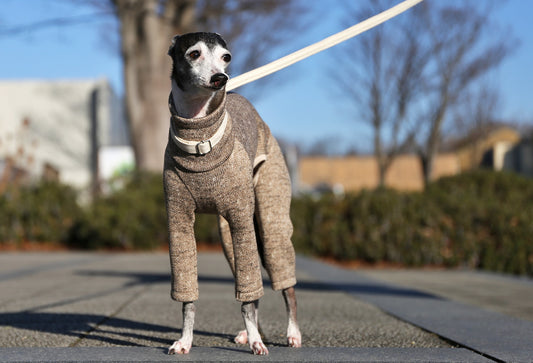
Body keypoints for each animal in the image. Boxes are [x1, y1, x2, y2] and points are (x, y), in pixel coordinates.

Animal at [163, 32, 300, 356]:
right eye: (194, 53)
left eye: (226, 57)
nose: (220, 78)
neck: (199, 140)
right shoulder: (179, 222)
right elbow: (188, 296)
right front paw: (185, 340)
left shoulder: (240, 220)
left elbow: (248, 298)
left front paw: (258, 342)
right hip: (228, 235)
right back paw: (248, 334)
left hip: (267, 219)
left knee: (284, 282)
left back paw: (290, 333)